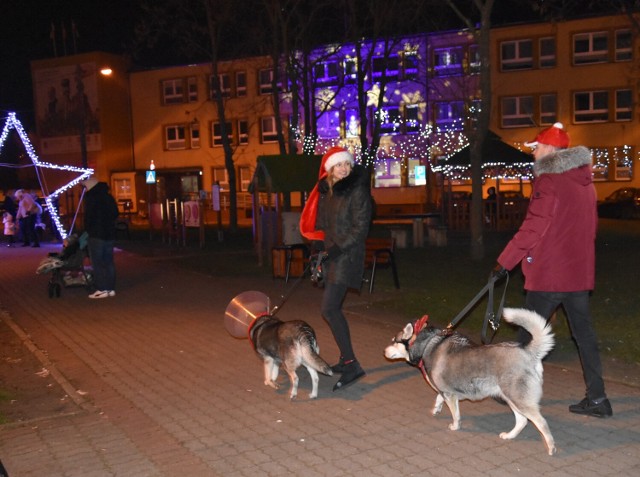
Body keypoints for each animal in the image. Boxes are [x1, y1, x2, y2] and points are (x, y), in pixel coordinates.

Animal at [384, 306, 556, 456]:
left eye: (394, 340)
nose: (384, 351)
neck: (428, 344)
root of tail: (527, 351)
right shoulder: (447, 392)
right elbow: (439, 398)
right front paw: (436, 409)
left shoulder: (449, 394)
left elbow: (455, 414)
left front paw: (455, 426)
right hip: (511, 399)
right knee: (522, 421)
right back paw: (509, 436)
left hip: (518, 399)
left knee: (541, 422)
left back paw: (551, 447)